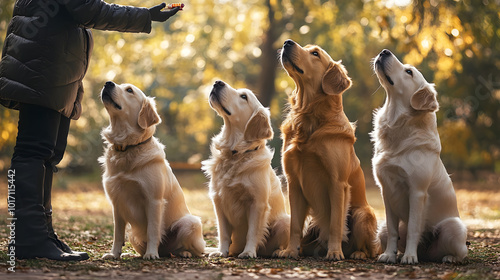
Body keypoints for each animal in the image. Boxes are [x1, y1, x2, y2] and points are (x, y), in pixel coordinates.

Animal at [99, 81, 205, 260]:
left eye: (129, 90)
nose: (108, 83)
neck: (127, 147)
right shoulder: (117, 202)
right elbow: (117, 234)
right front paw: (114, 254)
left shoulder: (153, 200)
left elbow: (153, 230)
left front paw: (151, 254)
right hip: (132, 234)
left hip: (191, 223)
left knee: (195, 250)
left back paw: (183, 253)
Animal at [202, 80, 292, 258]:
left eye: (244, 97)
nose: (217, 82)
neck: (235, 153)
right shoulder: (218, 201)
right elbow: (223, 233)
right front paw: (221, 252)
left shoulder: (257, 203)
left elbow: (253, 231)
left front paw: (249, 252)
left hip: (284, 221)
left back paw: (280, 251)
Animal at [372, 49, 468, 264]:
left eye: (409, 72)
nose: (384, 51)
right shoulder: (386, 191)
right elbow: (393, 231)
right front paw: (389, 255)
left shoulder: (417, 191)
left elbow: (414, 229)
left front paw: (409, 256)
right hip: (380, 227)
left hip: (454, 227)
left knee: (462, 251)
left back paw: (449, 257)